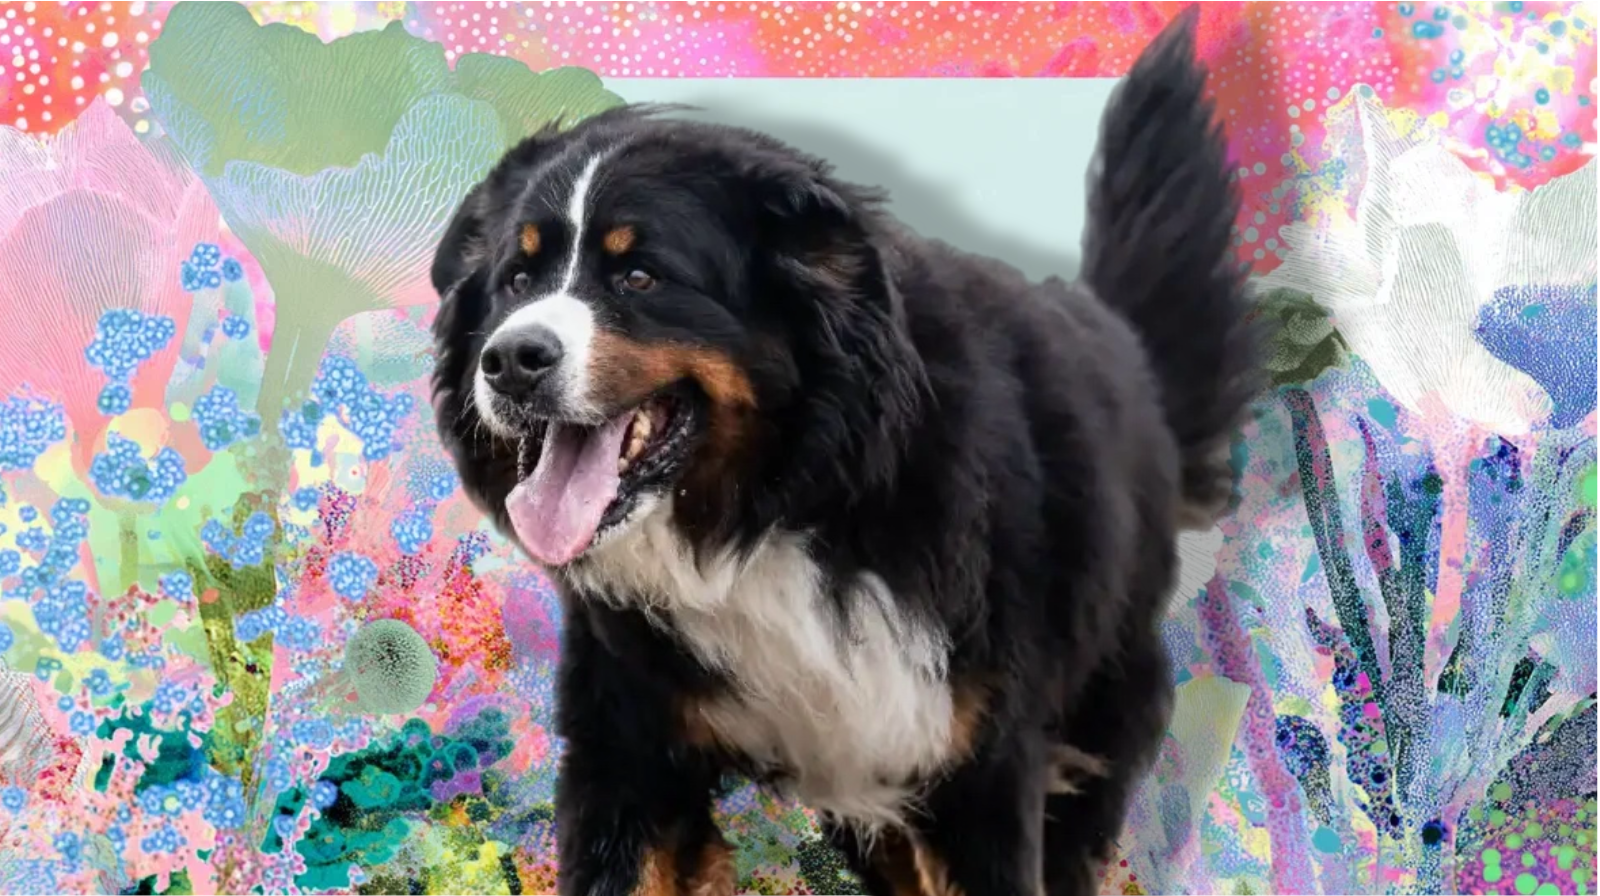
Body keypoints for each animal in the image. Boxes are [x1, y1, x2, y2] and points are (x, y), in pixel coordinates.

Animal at [429, 8, 1255, 895]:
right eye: (517, 279)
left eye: (641, 276)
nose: (510, 361)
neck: (785, 504)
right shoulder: (630, 749)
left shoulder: (979, 759)